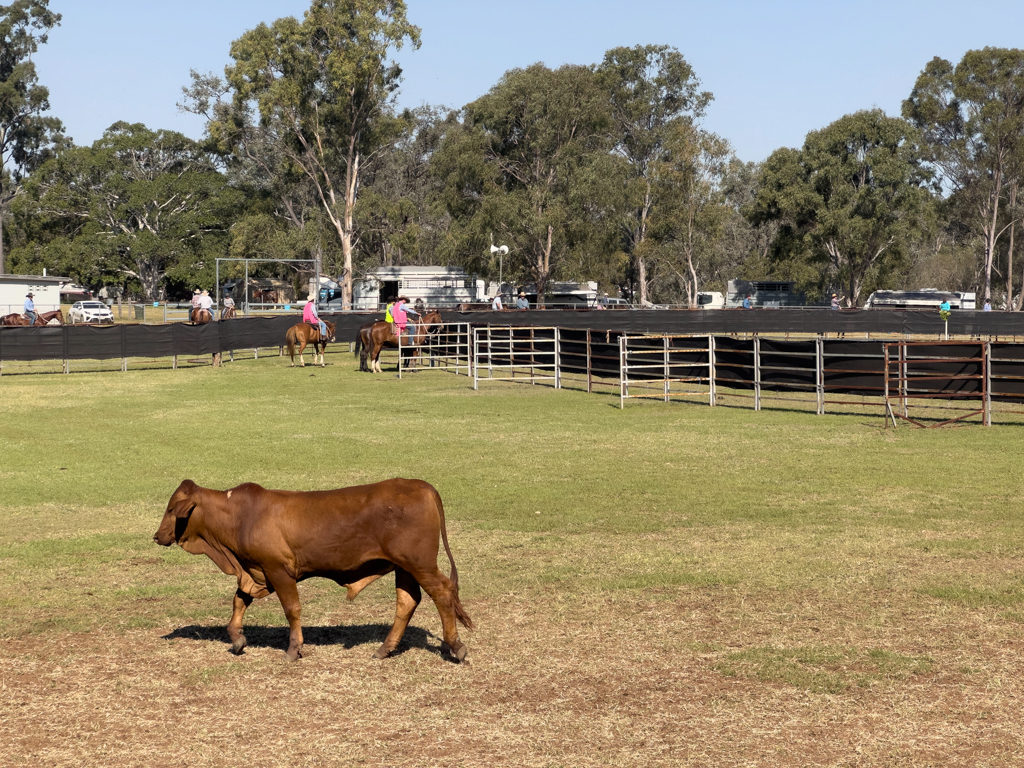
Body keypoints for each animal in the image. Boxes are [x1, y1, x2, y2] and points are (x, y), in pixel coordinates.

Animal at [153, 481, 473, 663]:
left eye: (171, 509)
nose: (157, 536)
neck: (239, 517)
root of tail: (422, 485)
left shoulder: (278, 569)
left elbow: (292, 609)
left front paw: (294, 649)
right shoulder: (253, 571)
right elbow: (239, 602)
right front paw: (237, 639)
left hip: (420, 563)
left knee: (443, 593)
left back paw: (455, 645)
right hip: (404, 567)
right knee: (407, 601)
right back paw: (385, 648)